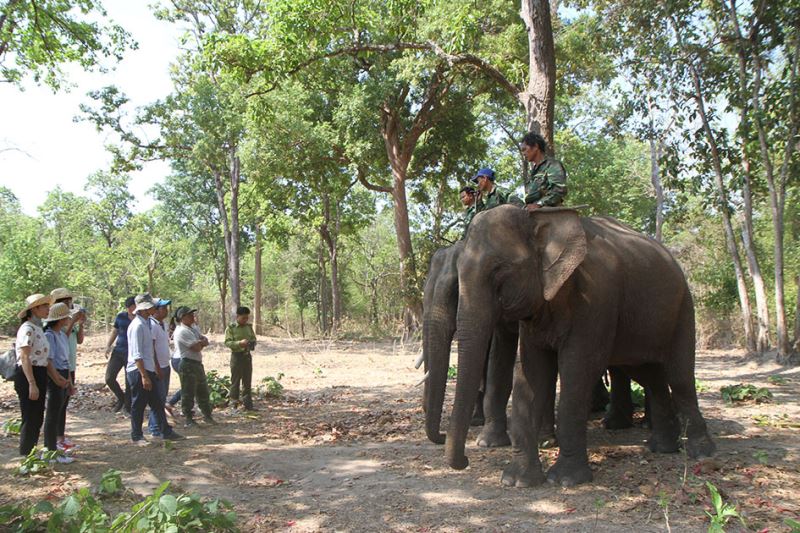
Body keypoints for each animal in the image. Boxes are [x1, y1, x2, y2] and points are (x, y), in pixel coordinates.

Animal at [446, 205, 716, 486]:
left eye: (499, 270)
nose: (464, 461)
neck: (540, 217)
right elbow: (531, 374)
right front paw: (517, 480)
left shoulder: (597, 299)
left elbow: (578, 369)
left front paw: (566, 480)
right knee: (649, 374)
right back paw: (663, 447)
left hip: (683, 308)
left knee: (680, 377)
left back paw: (701, 453)